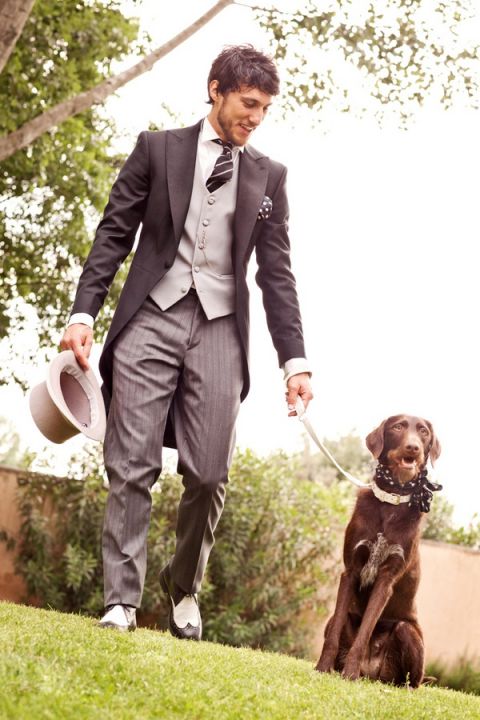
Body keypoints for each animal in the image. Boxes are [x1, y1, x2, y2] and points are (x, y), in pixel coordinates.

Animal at [316, 416, 440, 688]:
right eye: (398, 427)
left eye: (423, 432)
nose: (413, 448)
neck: (391, 502)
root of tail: (370, 672)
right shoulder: (351, 570)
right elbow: (334, 634)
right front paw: (322, 668)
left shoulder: (386, 578)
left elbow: (365, 632)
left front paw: (349, 674)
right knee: (336, 623)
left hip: (407, 632)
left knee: (413, 682)